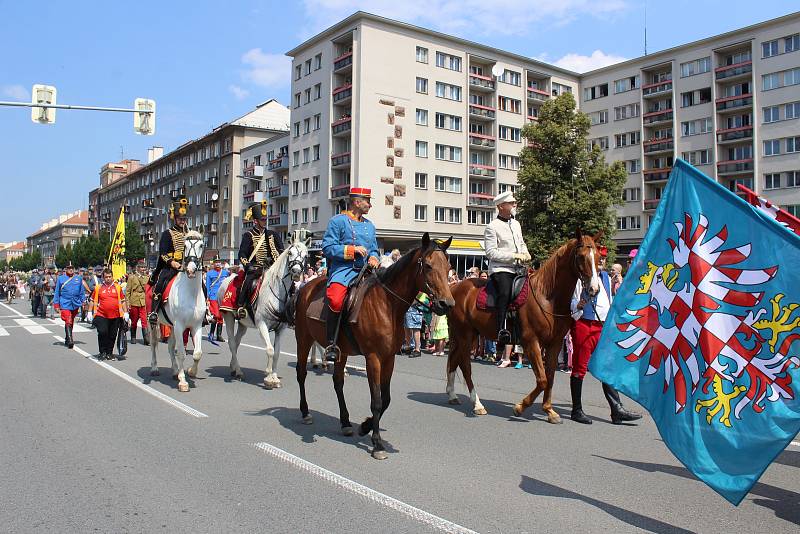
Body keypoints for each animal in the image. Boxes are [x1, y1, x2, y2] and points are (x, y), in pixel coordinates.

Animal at [149, 231, 208, 394]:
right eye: (186, 246)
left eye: (201, 245)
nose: (191, 269)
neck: (191, 292)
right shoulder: (180, 326)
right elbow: (181, 352)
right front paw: (183, 382)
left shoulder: (196, 326)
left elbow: (197, 353)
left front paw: (191, 372)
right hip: (154, 323)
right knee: (154, 343)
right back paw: (154, 368)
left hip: (171, 326)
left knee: (170, 346)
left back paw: (175, 371)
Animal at [216, 230, 310, 390]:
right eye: (290, 253)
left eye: (306, 255)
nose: (297, 272)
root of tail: (226, 280)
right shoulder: (262, 325)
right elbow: (270, 350)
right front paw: (268, 377)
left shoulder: (281, 328)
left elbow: (277, 352)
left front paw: (274, 377)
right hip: (229, 318)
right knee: (232, 343)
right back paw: (239, 371)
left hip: (243, 324)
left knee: (237, 341)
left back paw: (233, 367)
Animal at [294, 233, 456, 460]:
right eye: (428, 266)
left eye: (449, 266)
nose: (446, 304)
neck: (387, 305)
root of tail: (305, 287)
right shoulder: (373, 358)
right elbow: (377, 401)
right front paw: (377, 443)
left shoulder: (389, 358)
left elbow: (386, 399)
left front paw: (365, 426)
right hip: (303, 339)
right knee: (301, 374)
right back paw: (305, 412)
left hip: (341, 351)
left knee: (338, 382)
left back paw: (345, 422)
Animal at [444, 232, 600, 426]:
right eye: (581, 257)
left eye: (598, 257)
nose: (594, 289)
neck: (547, 296)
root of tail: (454, 287)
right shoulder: (531, 342)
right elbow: (542, 380)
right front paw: (520, 407)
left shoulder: (554, 344)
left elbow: (550, 377)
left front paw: (549, 410)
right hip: (465, 334)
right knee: (465, 365)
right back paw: (477, 404)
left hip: (469, 335)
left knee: (454, 359)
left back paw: (452, 394)